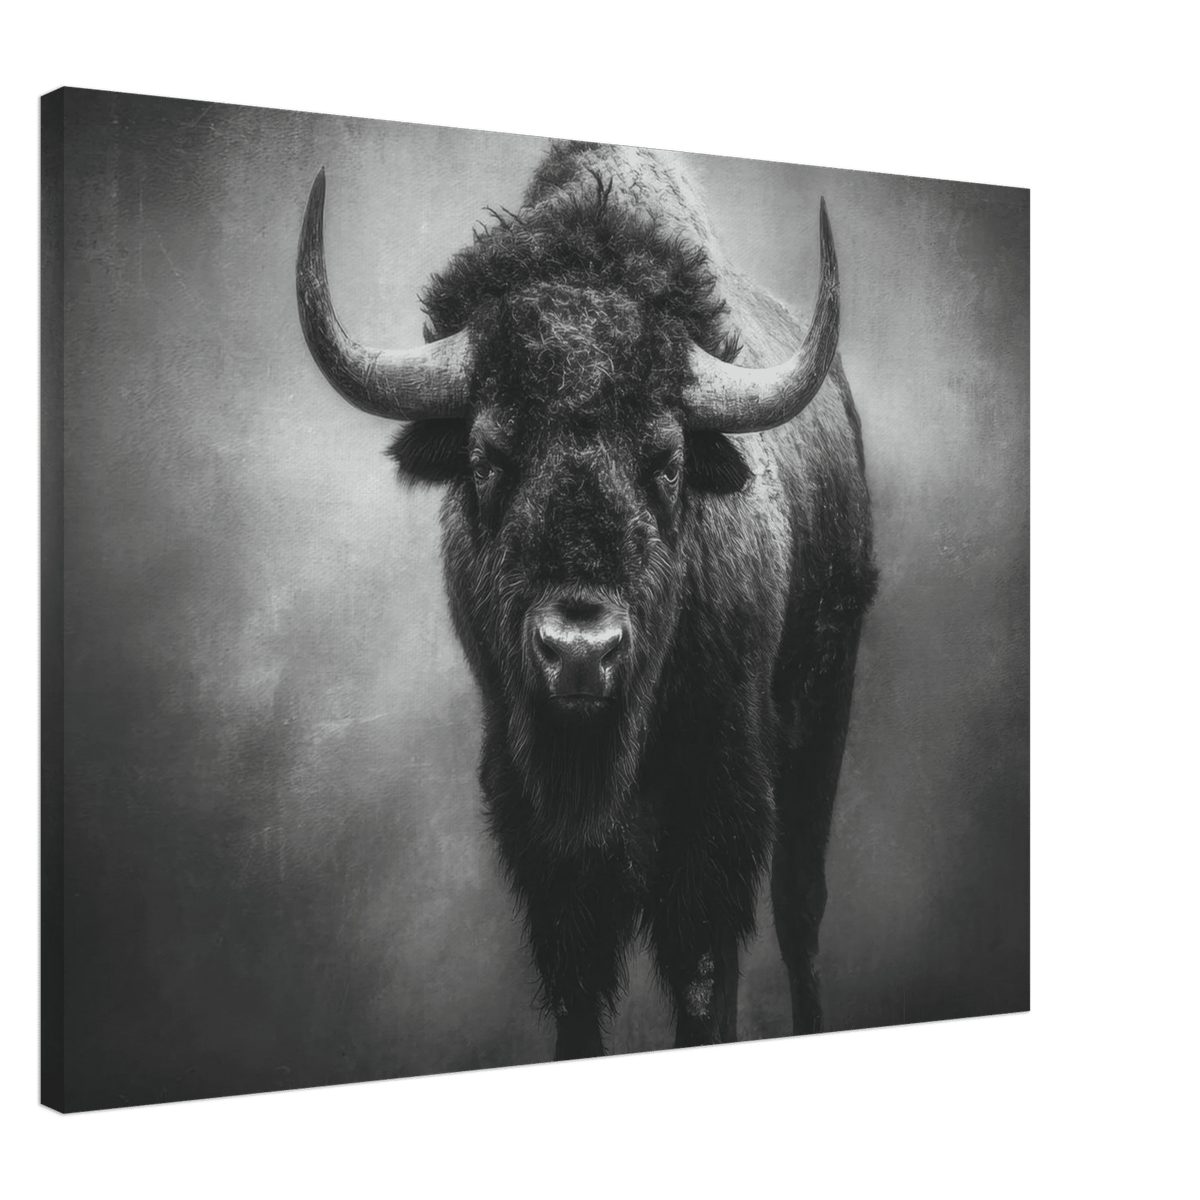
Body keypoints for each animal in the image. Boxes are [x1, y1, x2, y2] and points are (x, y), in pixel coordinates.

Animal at [296, 140, 877, 1061]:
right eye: (487, 456)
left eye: (668, 461)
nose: (579, 653)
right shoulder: (538, 831)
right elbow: (578, 985)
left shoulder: (716, 806)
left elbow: (701, 970)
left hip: (823, 711)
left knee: (798, 911)